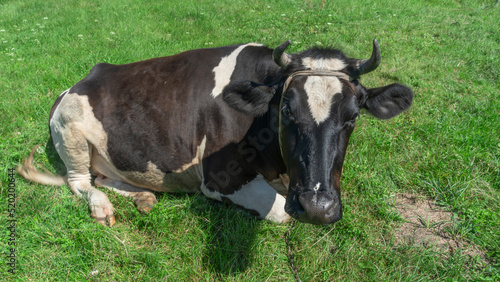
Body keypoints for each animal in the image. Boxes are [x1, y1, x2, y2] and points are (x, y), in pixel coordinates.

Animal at [17, 38, 412, 226]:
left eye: (353, 116)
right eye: (286, 110)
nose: (317, 207)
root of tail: (85, 77)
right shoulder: (220, 177)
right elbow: (282, 213)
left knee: (103, 176)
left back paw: (143, 196)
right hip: (70, 131)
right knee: (79, 181)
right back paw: (102, 207)